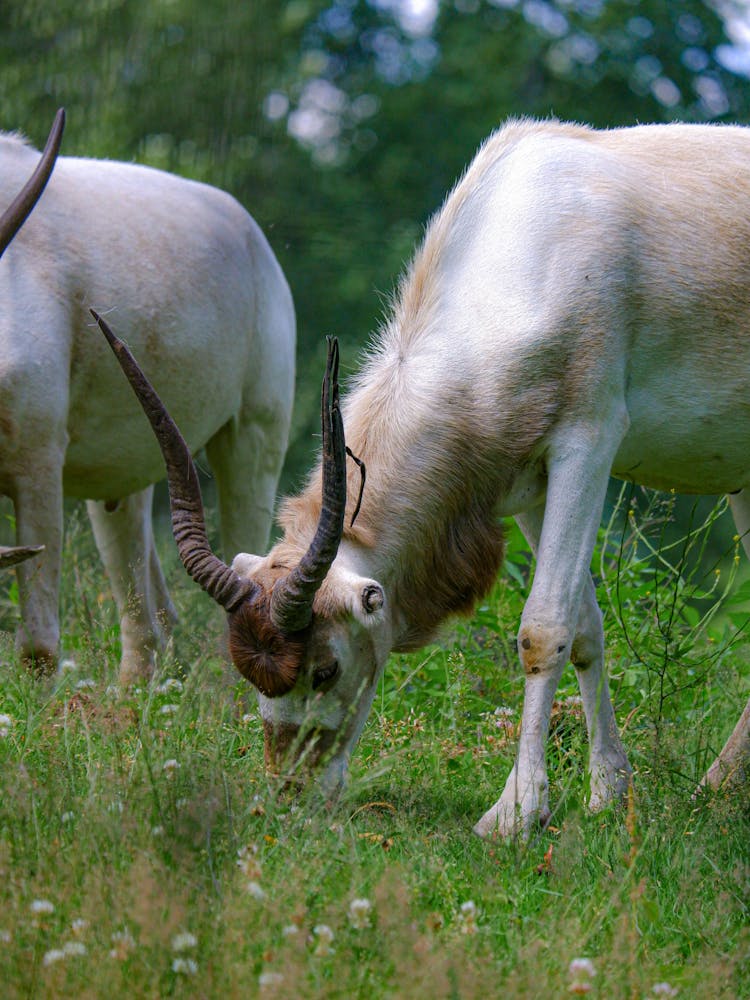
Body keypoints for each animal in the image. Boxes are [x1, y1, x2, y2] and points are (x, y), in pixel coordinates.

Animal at [100, 117, 750, 836]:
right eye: (250, 675)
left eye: (324, 669)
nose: (292, 798)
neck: (525, 249)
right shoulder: (531, 480)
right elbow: (585, 626)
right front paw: (610, 793)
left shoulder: (589, 440)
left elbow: (544, 627)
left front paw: (515, 813)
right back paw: (717, 787)